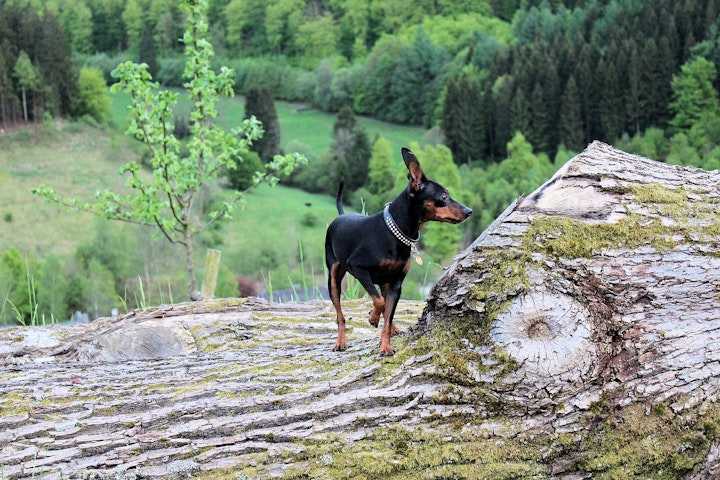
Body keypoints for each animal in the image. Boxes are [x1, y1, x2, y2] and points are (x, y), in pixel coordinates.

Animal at [324, 148, 472, 354]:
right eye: (443, 197)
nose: (469, 211)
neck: (393, 232)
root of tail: (341, 216)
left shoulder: (396, 284)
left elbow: (388, 313)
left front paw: (386, 345)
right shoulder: (358, 268)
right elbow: (379, 303)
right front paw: (372, 317)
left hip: (384, 281)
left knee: (385, 304)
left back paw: (392, 328)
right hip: (334, 277)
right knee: (340, 314)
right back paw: (341, 341)